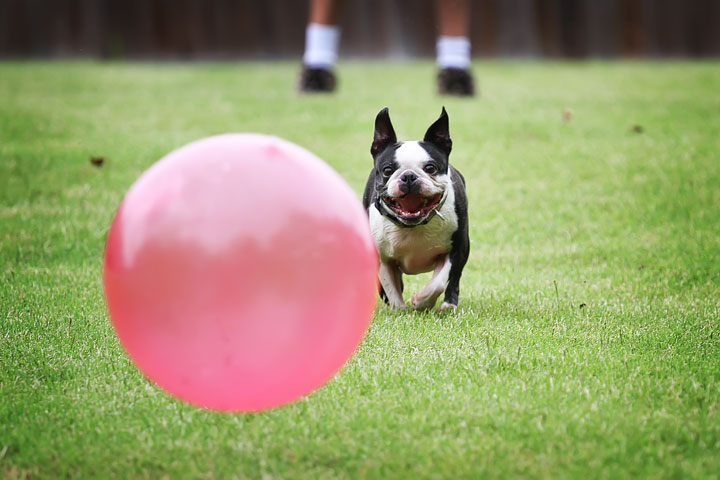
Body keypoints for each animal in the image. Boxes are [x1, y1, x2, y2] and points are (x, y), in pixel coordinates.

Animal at [362, 108, 470, 312]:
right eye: (387, 170)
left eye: (430, 168)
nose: (409, 176)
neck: (412, 226)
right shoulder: (383, 258)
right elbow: (391, 287)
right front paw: (400, 310)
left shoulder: (456, 248)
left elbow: (439, 282)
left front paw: (421, 302)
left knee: (454, 280)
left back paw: (448, 305)